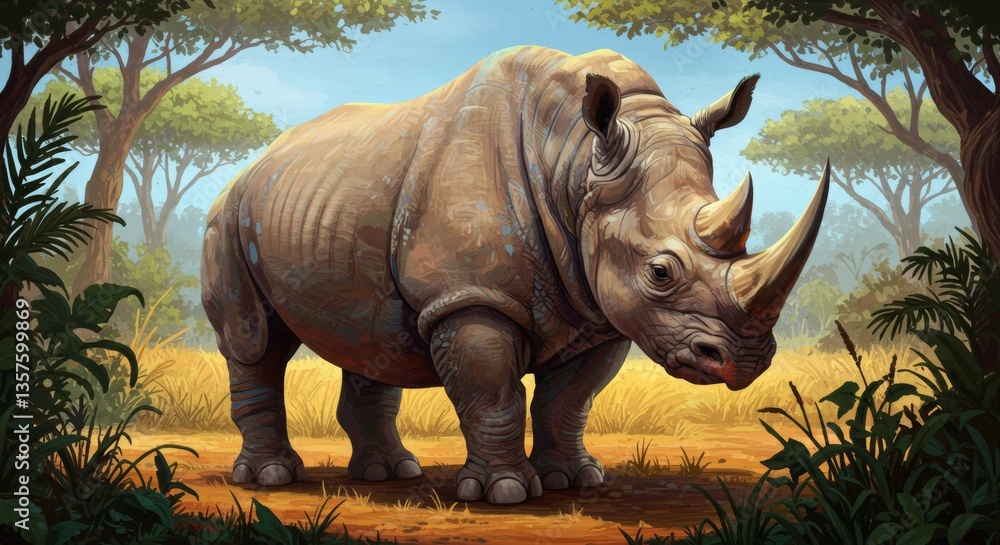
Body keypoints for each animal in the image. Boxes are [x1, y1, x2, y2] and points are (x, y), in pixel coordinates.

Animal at [201, 46, 829, 505]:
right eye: (660, 272)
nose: (745, 361)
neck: (574, 160)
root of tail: (256, 162)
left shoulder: (599, 310)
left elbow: (569, 401)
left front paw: (574, 481)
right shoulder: (470, 294)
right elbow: (492, 390)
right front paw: (503, 493)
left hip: (334, 198)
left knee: (371, 337)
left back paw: (389, 474)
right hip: (228, 214)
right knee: (254, 341)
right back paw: (272, 478)